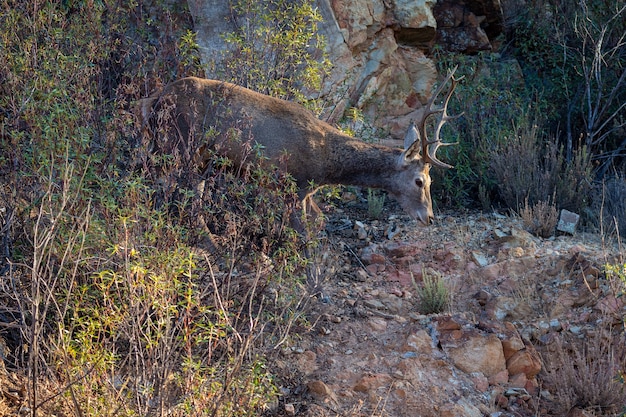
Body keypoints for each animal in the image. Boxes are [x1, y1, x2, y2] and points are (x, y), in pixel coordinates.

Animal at [135, 68, 458, 224]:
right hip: (176, 145)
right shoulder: (295, 184)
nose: (429, 217)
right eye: (420, 181)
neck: (326, 163)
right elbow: (304, 232)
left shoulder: (302, 191)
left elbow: (318, 223)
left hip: (197, 160)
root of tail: (154, 100)